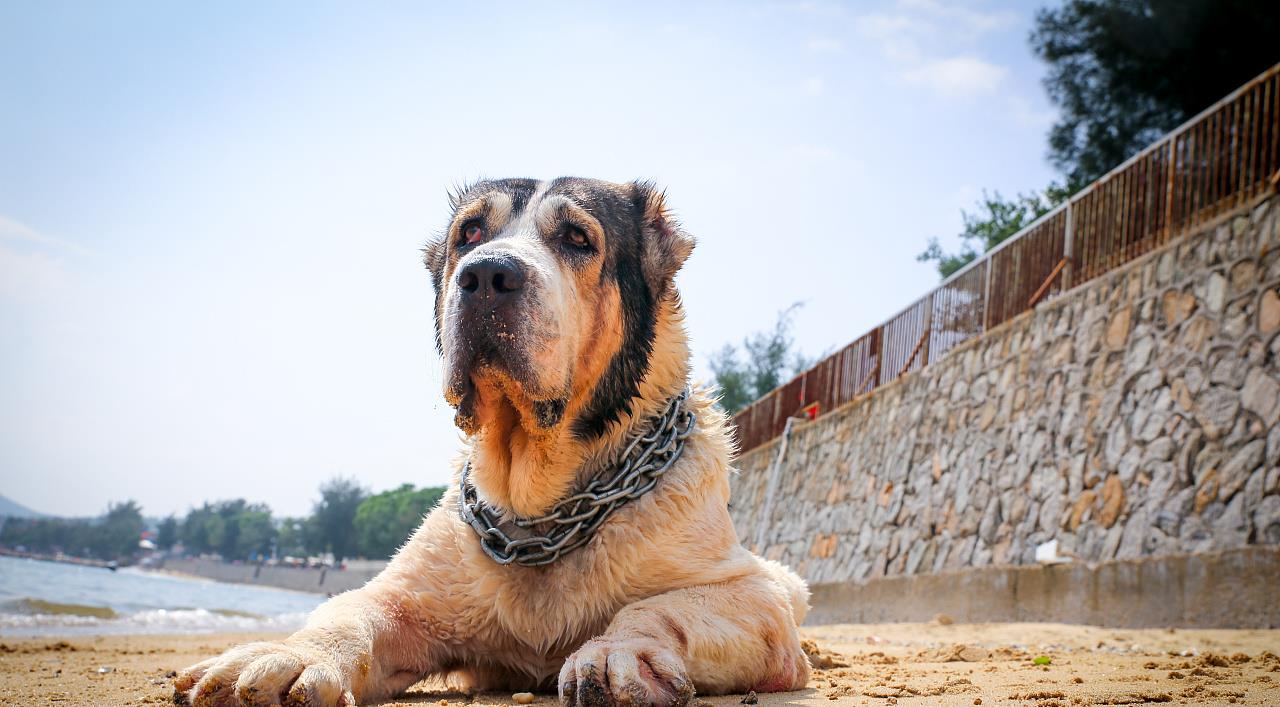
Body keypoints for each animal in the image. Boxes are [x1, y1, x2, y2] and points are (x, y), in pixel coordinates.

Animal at [174, 178, 803, 707]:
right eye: (470, 233)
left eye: (576, 237)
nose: (486, 274)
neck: (542, 505)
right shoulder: (405, 596)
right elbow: (349, 613)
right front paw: (290, 656)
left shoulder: (755, 600)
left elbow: (660, 606)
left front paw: (617, 652)